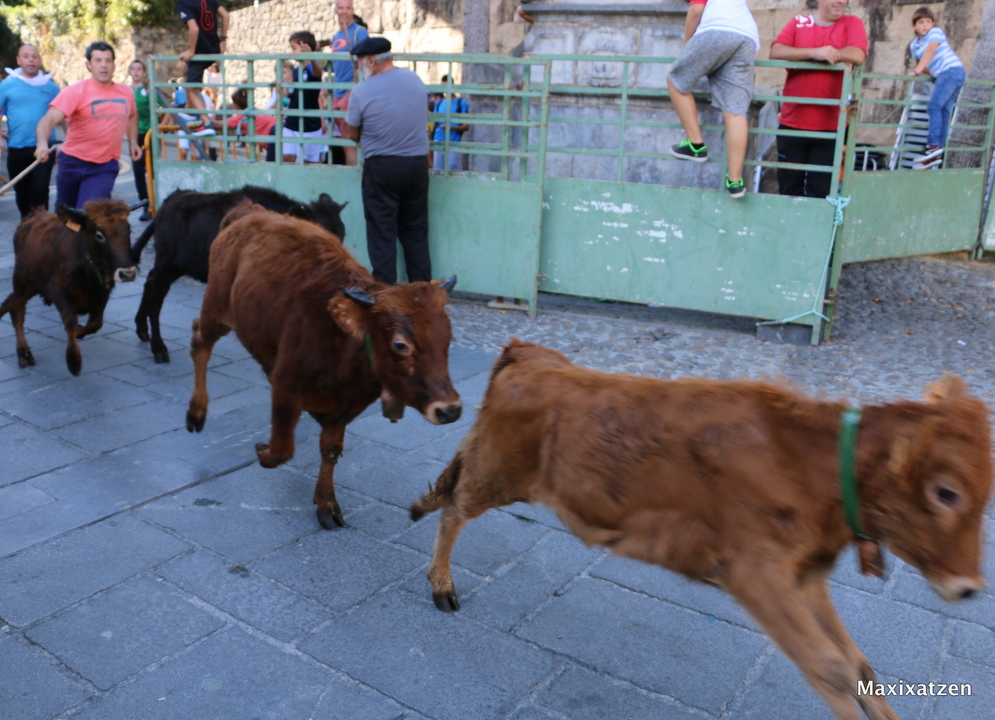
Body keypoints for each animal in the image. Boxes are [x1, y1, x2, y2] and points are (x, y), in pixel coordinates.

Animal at [0, 200, 143, 375]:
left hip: (30, 286)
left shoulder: (103, 293)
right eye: (99, 235)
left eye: (129, 230)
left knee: (10, 303)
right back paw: (23, 352)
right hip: (22, 282)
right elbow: (70, 321)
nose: (127, 274)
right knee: (17, 311)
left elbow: (96, 323)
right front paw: (73, 361)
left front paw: (80, 332)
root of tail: (34, 213)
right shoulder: (57, 291)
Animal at [131, 185, 347, 364]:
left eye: (341, 235)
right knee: (156, 299)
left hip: (173, 267)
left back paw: (142, 329)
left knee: (149, 282)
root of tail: (174, 197)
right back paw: (159, 348)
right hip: (167, 265)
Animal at [186, 201, 462, 530]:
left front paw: (326, 504)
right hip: (216, 309)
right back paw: (196, 412)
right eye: (400, 344)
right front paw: (262, 451)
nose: (450, 410)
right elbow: (282, 449)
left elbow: (330, 450)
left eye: (448, 336)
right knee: (199, 342)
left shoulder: (344, 408)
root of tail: (248, 210)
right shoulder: (286, 387)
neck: (343, 348)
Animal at [411, 339, 992, 720]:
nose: (969, 588)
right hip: (498, 474)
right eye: (947, 492)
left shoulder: (804, 576)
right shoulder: (754, 571)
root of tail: (530, 353)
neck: (808, 464)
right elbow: (830, 669)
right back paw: (441, 581)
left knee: (450, 487)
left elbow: (859, 665)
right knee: (454, 508)